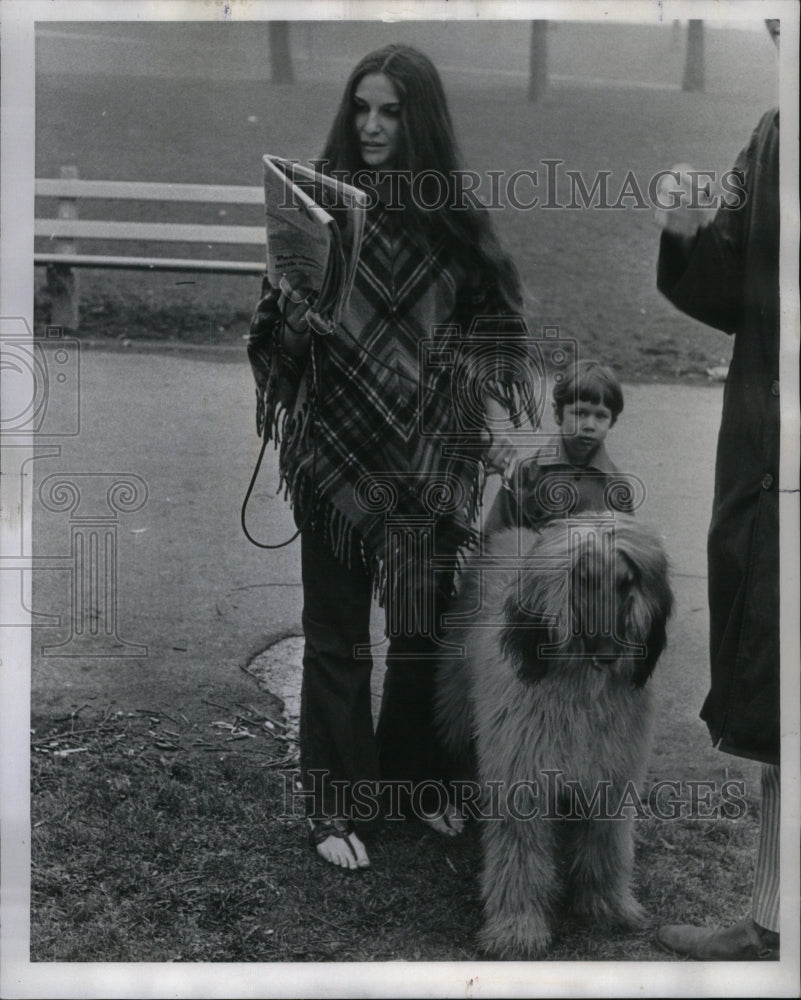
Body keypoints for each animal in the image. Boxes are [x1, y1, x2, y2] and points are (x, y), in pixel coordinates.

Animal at [434, 520, 672, 956]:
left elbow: (604, 842)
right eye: (584, 580)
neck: (580, 689)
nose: (609, 654)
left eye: (627, 583)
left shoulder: (609, 776)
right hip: (456, 697)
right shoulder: (522, 774)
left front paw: (605, 903)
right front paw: (518, 926)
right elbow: (520, 852)